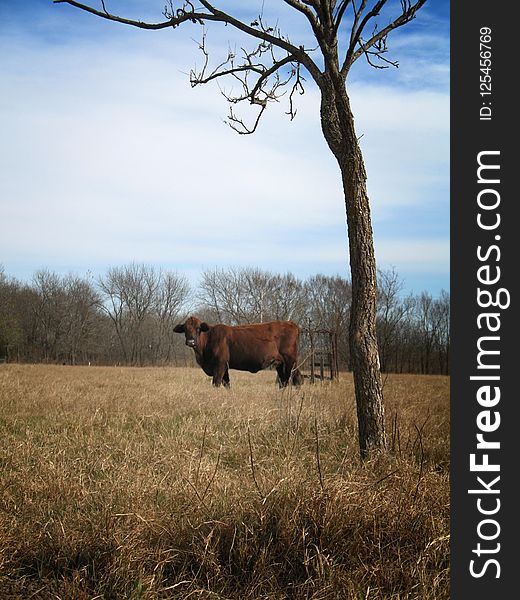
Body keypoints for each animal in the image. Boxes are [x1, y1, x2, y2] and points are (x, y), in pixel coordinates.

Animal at [175, 316, 304, 386]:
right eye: (185, 329)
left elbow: (216, 382)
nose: (191, 341)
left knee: (296, 380)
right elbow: (226, 383)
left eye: (198, 329)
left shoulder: (220, 365)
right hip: (280, 364)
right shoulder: (225, 367)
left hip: (290, 361)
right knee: (284, 381)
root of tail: (291, 323)